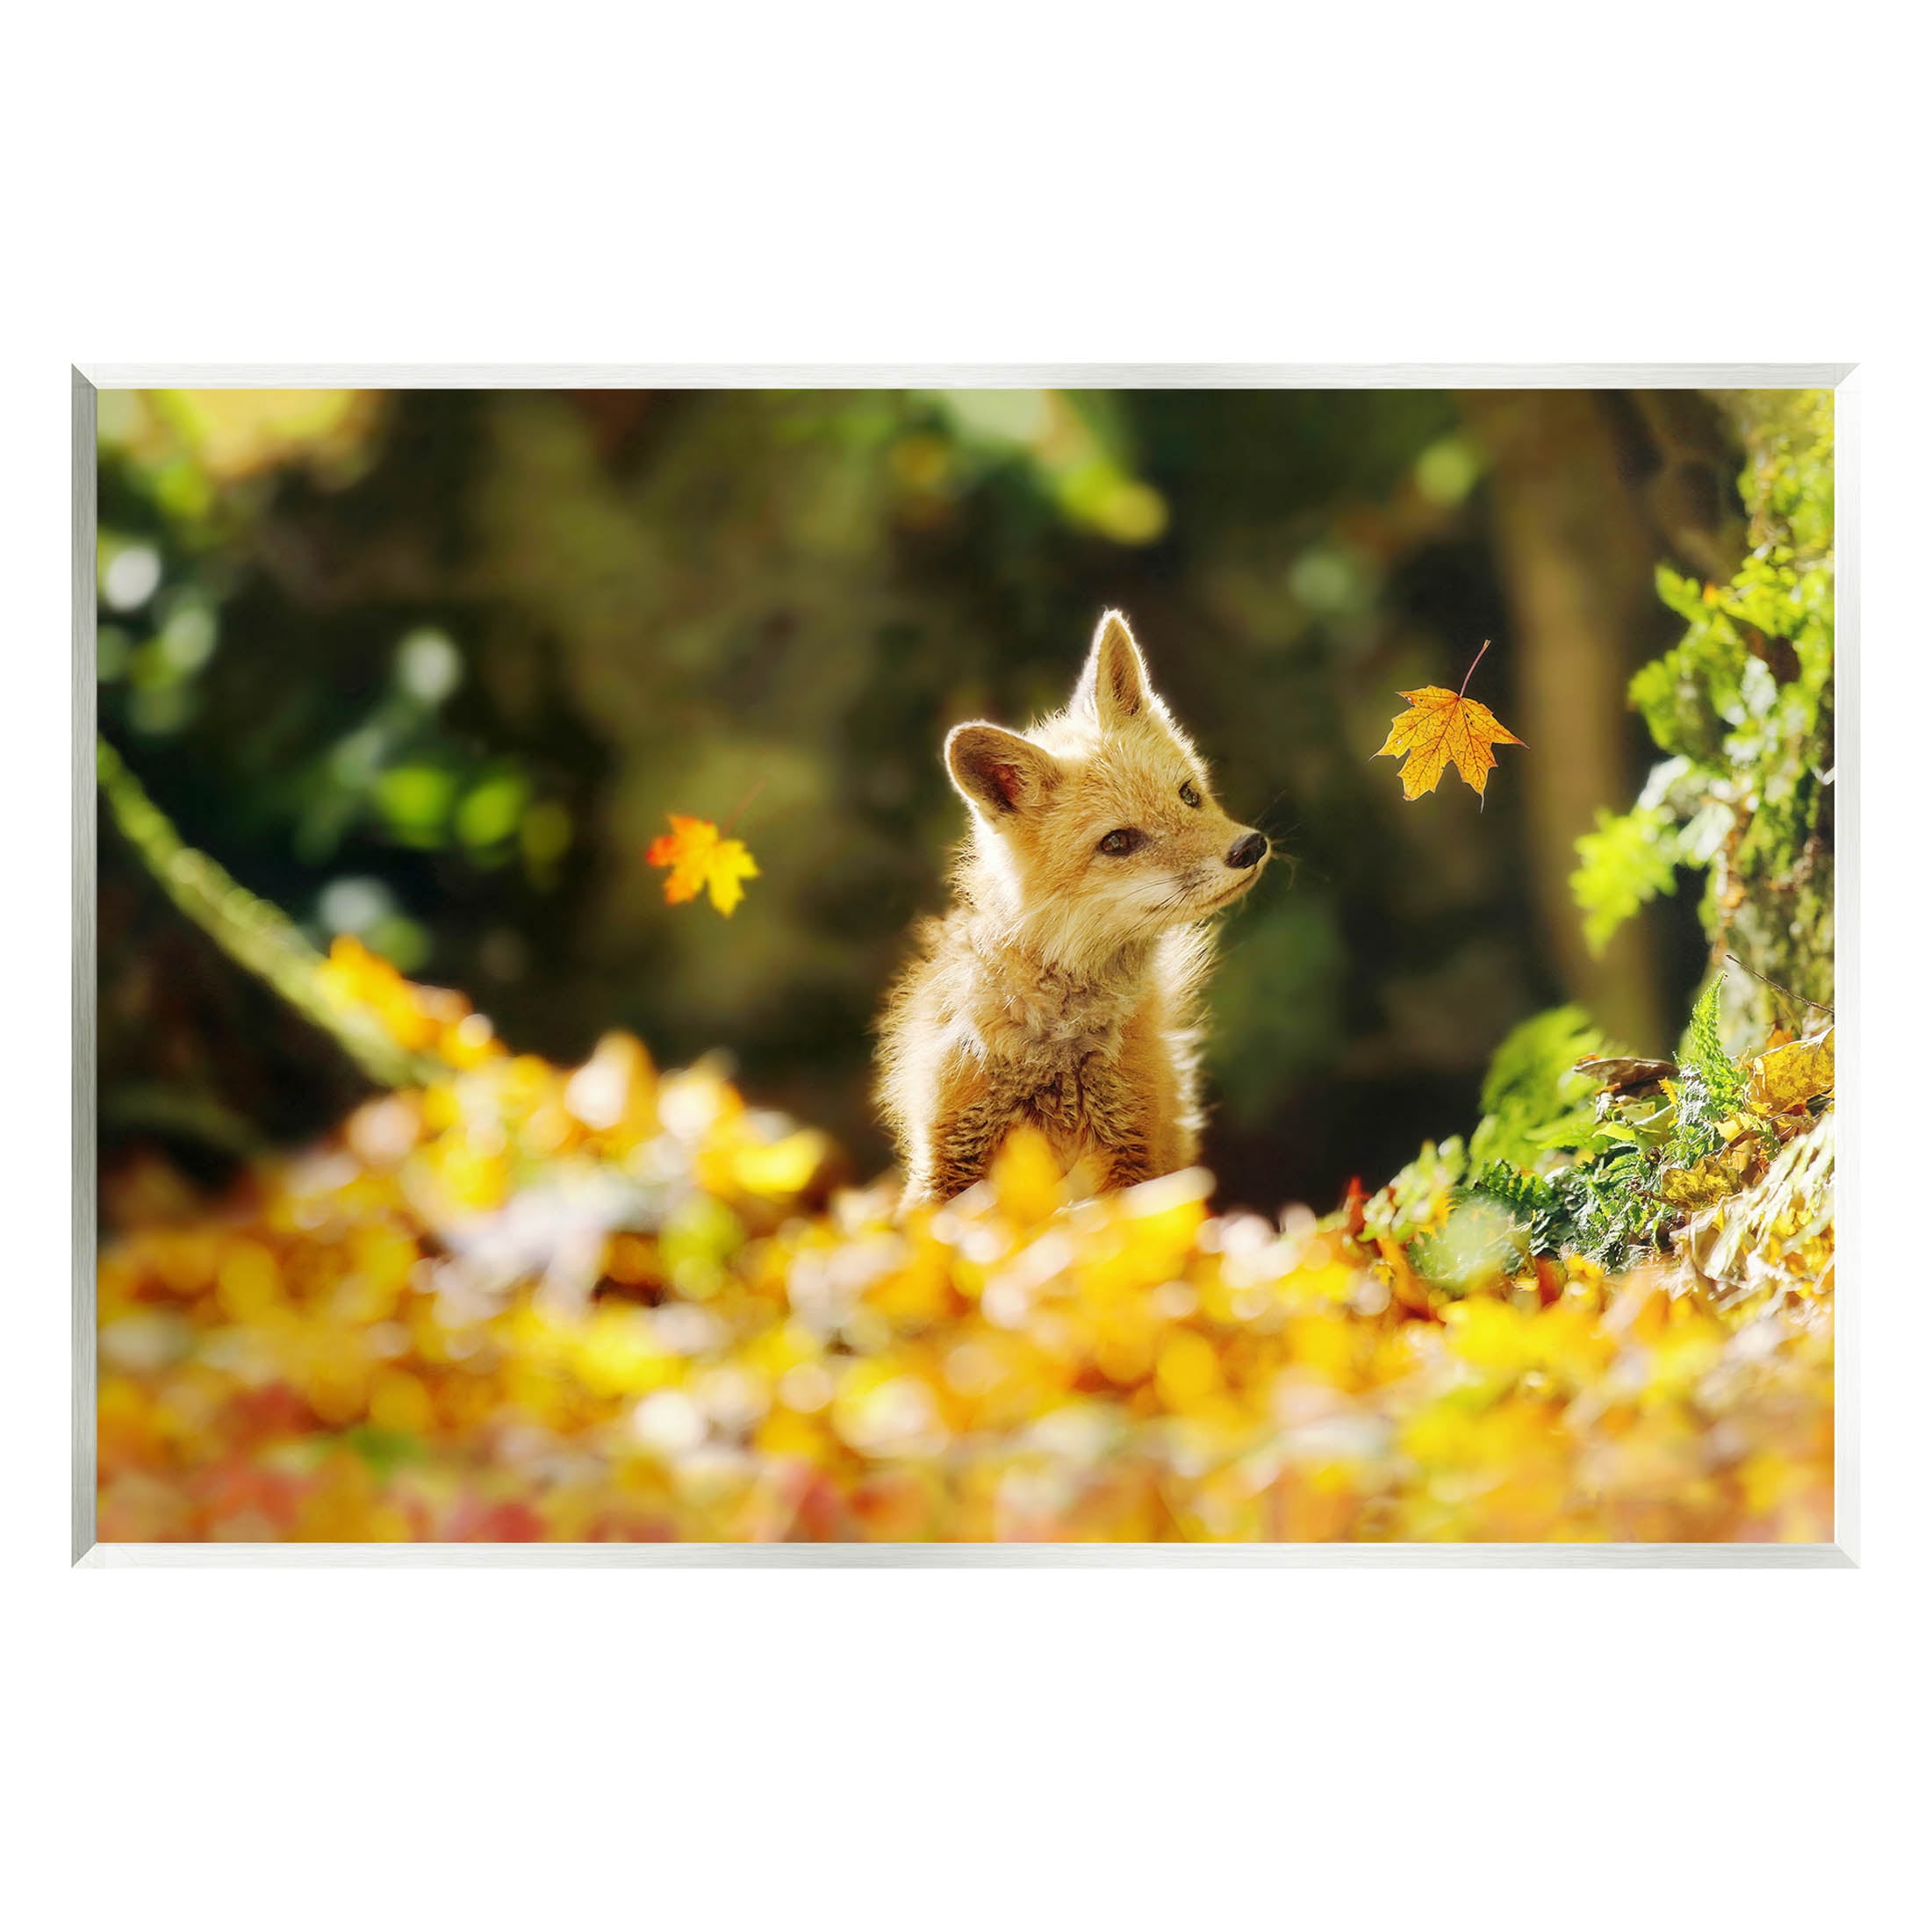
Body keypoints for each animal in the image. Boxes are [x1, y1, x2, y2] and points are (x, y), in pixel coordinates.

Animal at [877, 609, 1270, 1208]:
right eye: (1118, 842)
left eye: (1188, 795)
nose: (1249, 848)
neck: (1057, 1050)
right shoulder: (948, 1153)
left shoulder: (1133, 1150)